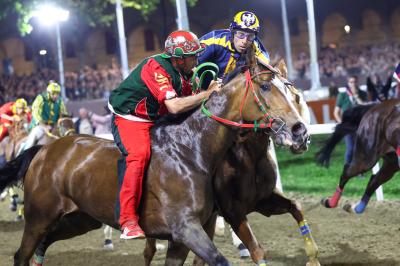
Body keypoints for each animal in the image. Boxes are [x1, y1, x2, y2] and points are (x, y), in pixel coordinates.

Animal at [0, 51, 310, 264]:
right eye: (266, 87)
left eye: (292, 91)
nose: (300, 131)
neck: (191, 151)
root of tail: (44, 150)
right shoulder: (187, 228)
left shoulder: (185, 236)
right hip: (39, 217)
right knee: (21, 254)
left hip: (80, 219)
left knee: (43, 245)